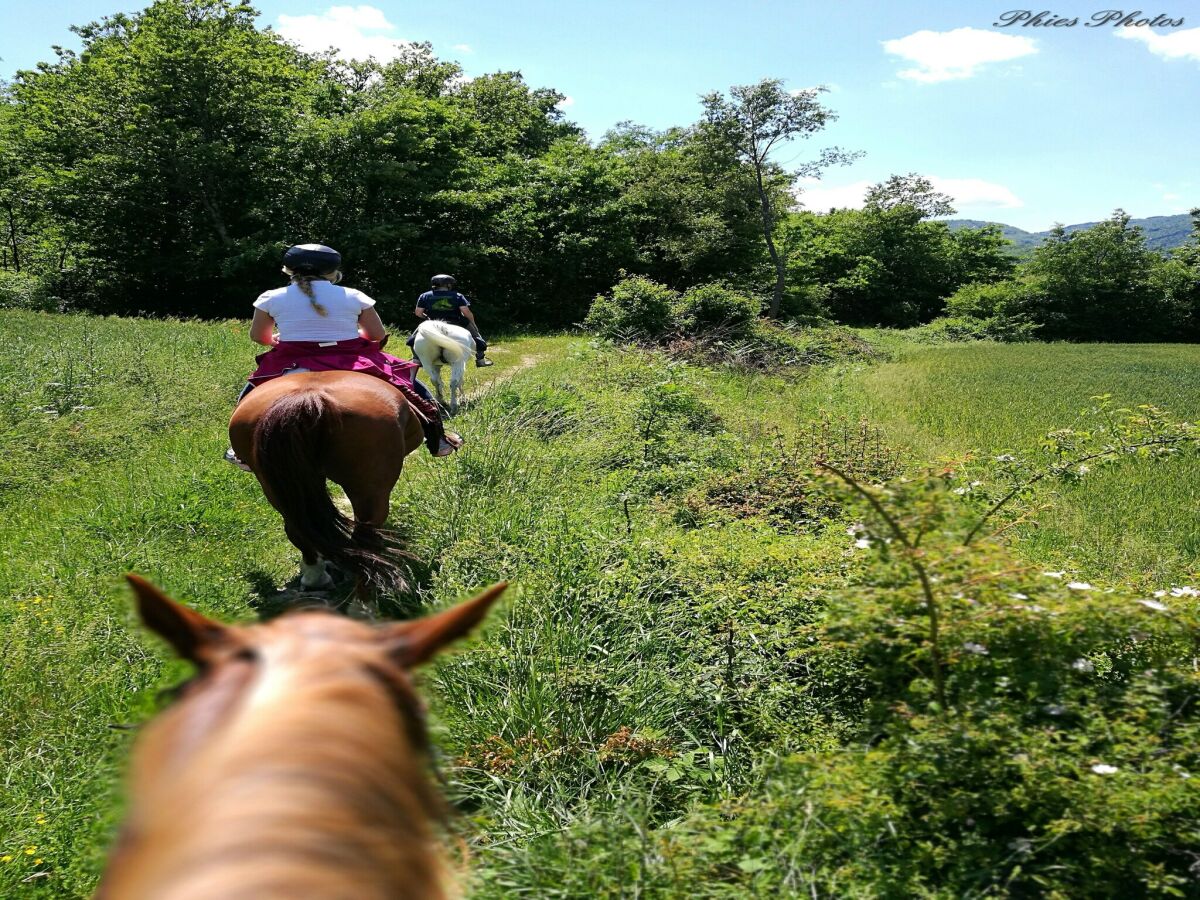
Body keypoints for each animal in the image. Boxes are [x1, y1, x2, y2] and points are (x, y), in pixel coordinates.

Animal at [231, 372, 424, 592]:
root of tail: (307, 398)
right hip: (370, 490)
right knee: (365, 538)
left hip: (275, 487)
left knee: (299, 529)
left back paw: (316, 577)